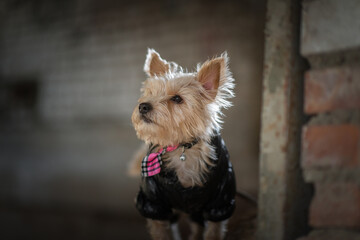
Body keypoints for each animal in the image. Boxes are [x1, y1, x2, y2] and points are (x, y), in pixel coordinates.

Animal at [131, 49, 235, 240]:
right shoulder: (154, 206)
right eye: (150, 93)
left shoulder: (220, 203)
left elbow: (213, 232)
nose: (143, 106)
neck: (181, 148)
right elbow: (162, 233)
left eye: (177, 99)